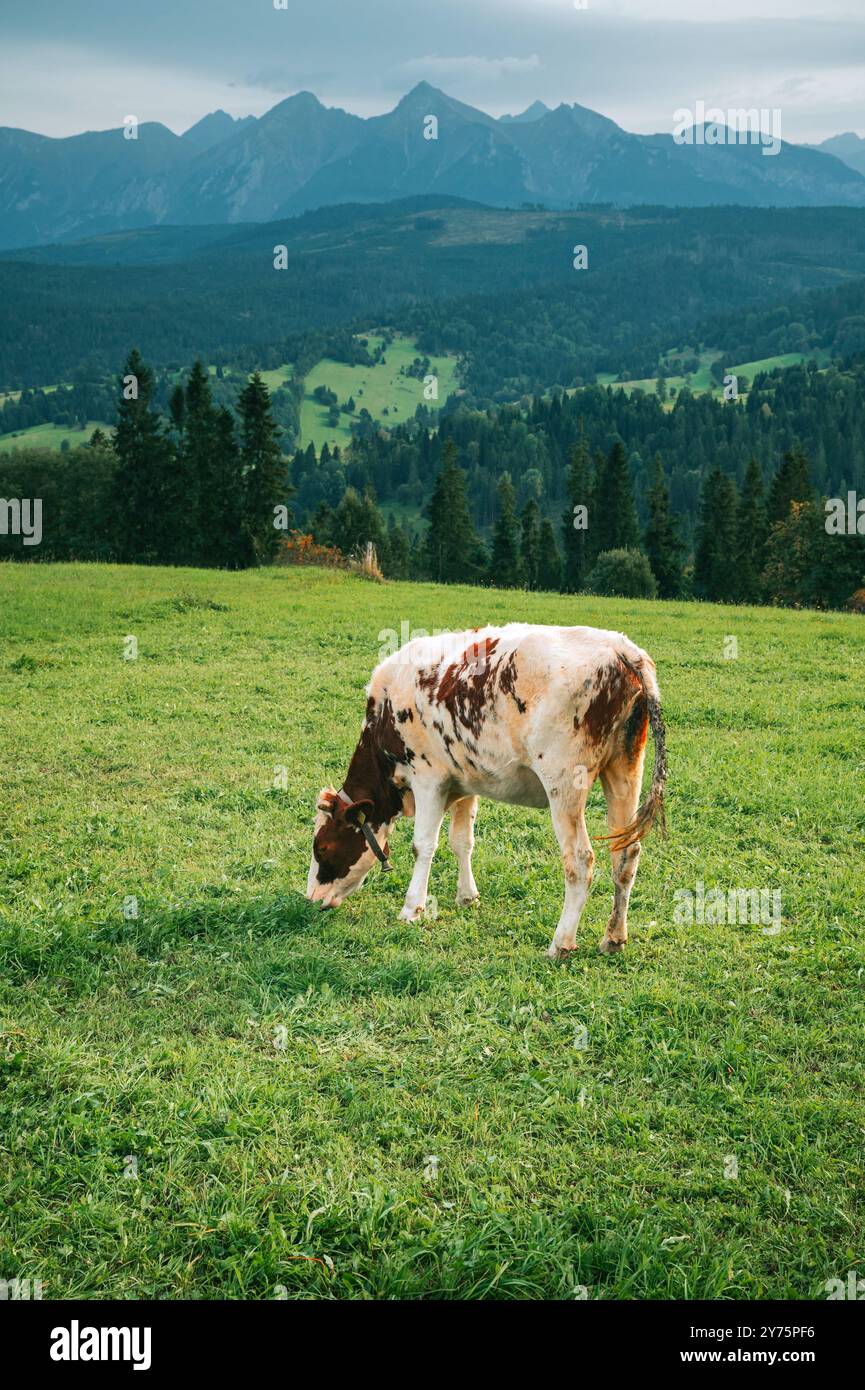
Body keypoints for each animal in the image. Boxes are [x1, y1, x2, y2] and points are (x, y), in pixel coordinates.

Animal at [308, 628, 667, 956]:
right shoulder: (464, 783)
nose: (311, 898)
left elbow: (423, 846)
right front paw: (467, 896)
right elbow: (461, 842)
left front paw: (412, 908)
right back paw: (614, 938)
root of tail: (620, 647)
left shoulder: (428, 778)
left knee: (579, 860)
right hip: (625, 769)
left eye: (322, 848)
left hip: (564, 782)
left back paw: (561, 944)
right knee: (625, 854)